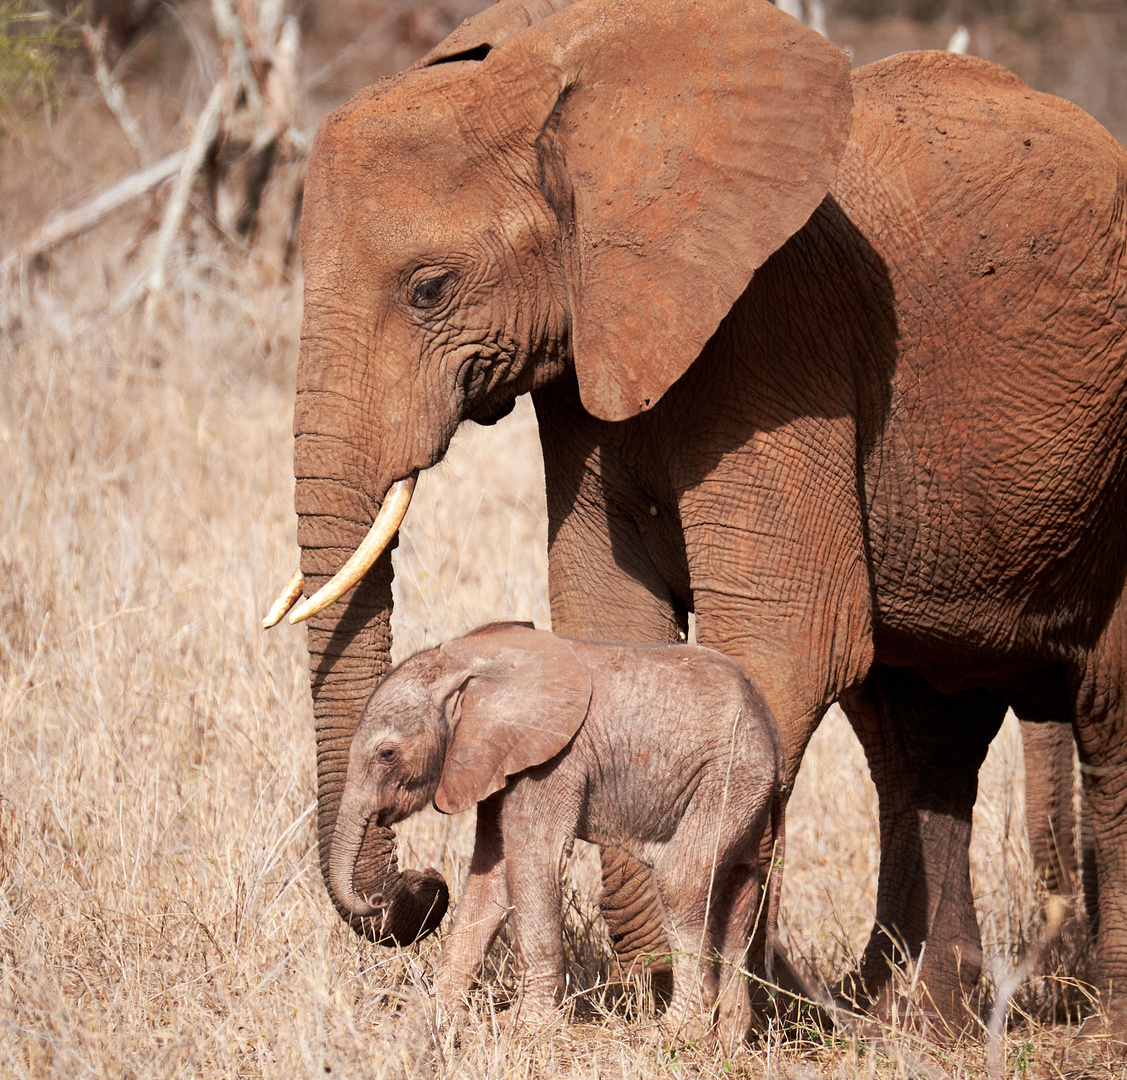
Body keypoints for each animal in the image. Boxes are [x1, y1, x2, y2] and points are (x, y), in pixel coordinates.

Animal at [326, 626, 784, 1046]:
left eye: (387, 754)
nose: (380, 897)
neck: (467, 660)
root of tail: (771, 731)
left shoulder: (552, 760)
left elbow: (533, 859)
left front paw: (524, 1028)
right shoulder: (499, 761)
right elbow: (491, 876)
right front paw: (428, 1019)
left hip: (730, 775)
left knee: (679, 882)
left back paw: (672, 1036)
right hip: (741, 790)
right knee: (740, 892)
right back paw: (729, 1042)